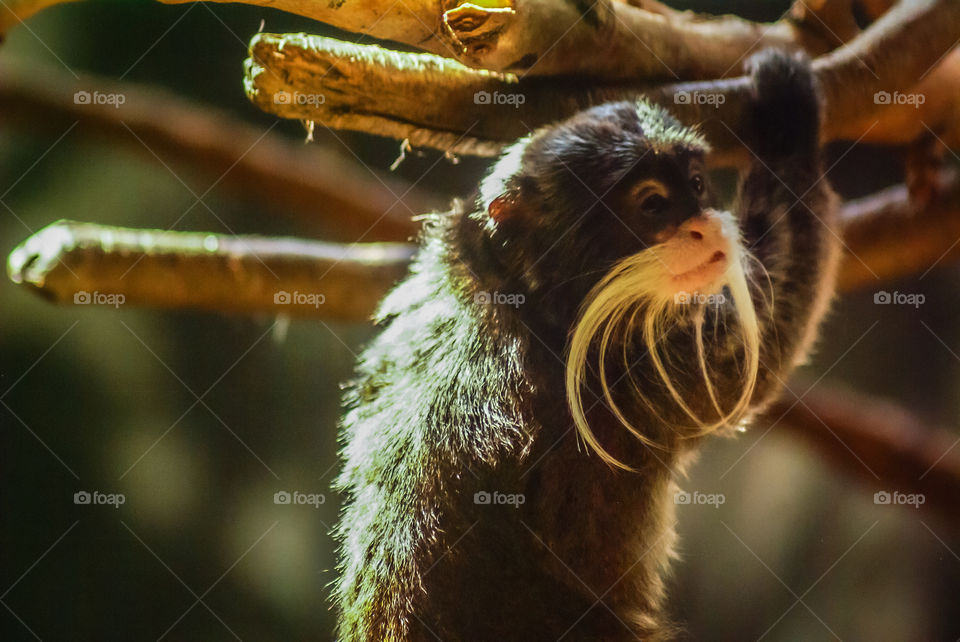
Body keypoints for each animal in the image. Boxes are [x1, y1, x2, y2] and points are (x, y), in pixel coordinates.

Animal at [333, 50, 840, 641]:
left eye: (695, 184)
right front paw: (786, 116)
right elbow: (758, 342)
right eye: (653, 204)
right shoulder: (629, 369)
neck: (526, 302)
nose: (705, 226)